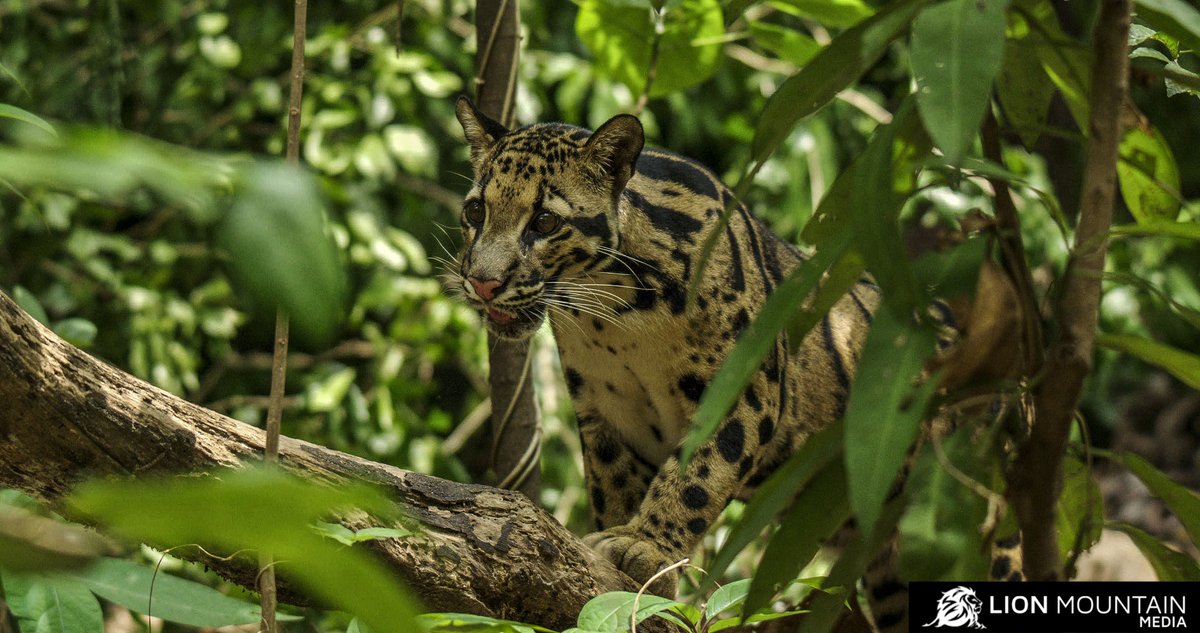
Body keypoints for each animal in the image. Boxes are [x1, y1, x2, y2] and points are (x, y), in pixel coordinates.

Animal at [450, 97, 1020, 631]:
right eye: (475, 212)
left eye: (545, 221)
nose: (482, 281)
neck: (615, 315)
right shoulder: (606, 414)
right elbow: (616, 485)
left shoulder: (744, 390)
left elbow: (695, 476)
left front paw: (647, 548)